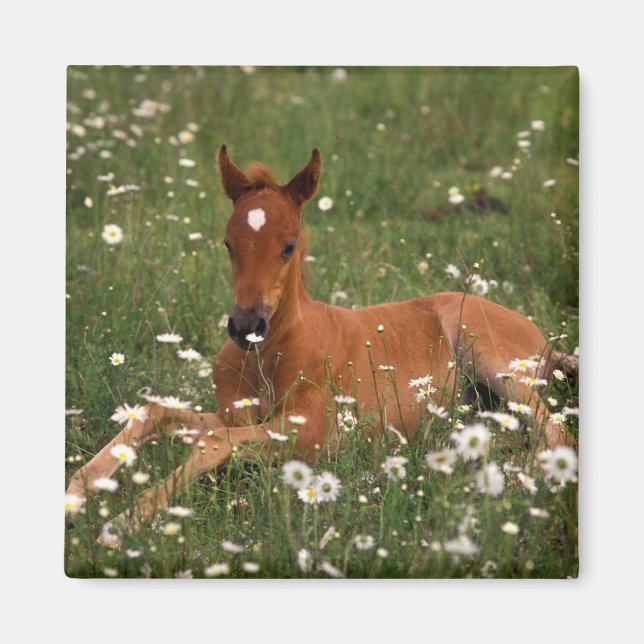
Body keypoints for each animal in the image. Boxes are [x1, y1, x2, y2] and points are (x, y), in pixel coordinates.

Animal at [66, 145, 573, 536]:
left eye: (289, 245)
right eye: (228, 243)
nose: (246, 326)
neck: (268, 357)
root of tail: (546, 340)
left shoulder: (313, 433)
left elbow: (211, 443)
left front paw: (127, 519)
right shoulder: (233, 415)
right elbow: (159, 414)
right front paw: (81, 488)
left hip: (492, 356)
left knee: (555, 430)